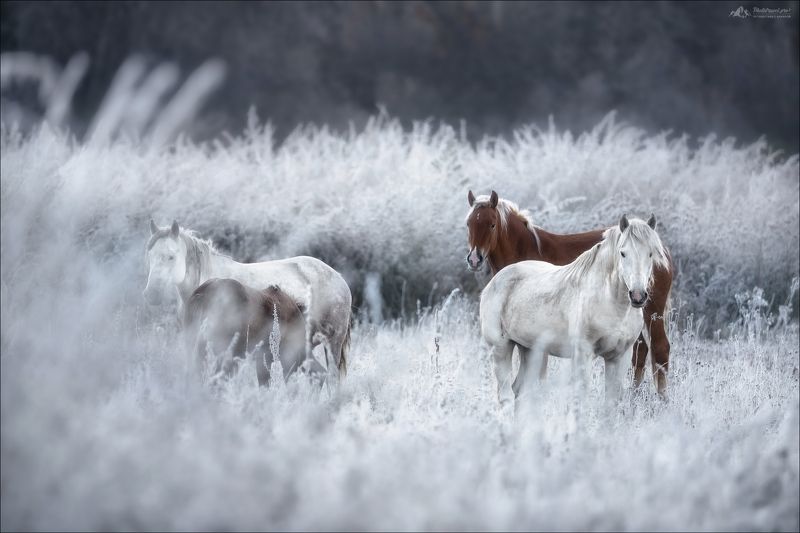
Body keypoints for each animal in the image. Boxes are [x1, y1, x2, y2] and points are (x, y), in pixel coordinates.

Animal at [466, 190, 674, 396]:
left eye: (492, 224)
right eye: (469, 224)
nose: (474, 259)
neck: (525, 248)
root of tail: (665, 251)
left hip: (653, 313)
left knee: (660, 348)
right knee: (642, 351)